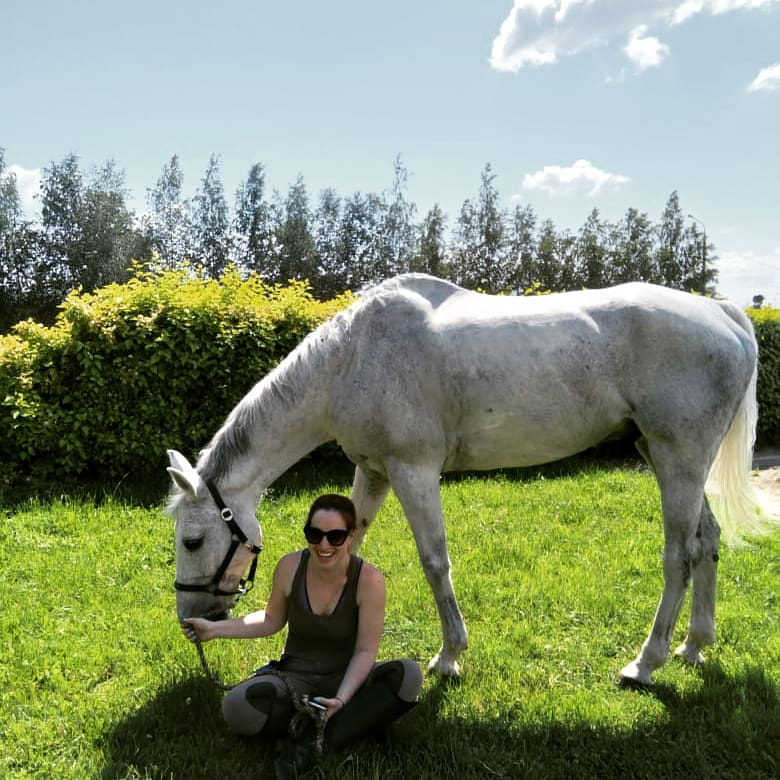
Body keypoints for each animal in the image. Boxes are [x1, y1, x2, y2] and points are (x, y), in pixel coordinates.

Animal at [167, 273, 778, 686]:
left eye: (192, 540)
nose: (191, 620)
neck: (352, 358)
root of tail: (724, 314)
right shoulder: (373, 471)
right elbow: (351, 547)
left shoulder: (413, 471)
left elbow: (435, 562)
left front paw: (449, 656)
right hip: (671, 458)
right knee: (707, 542)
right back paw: (694, 647)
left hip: (679, 459)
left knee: (679, 557)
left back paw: (645, 663)